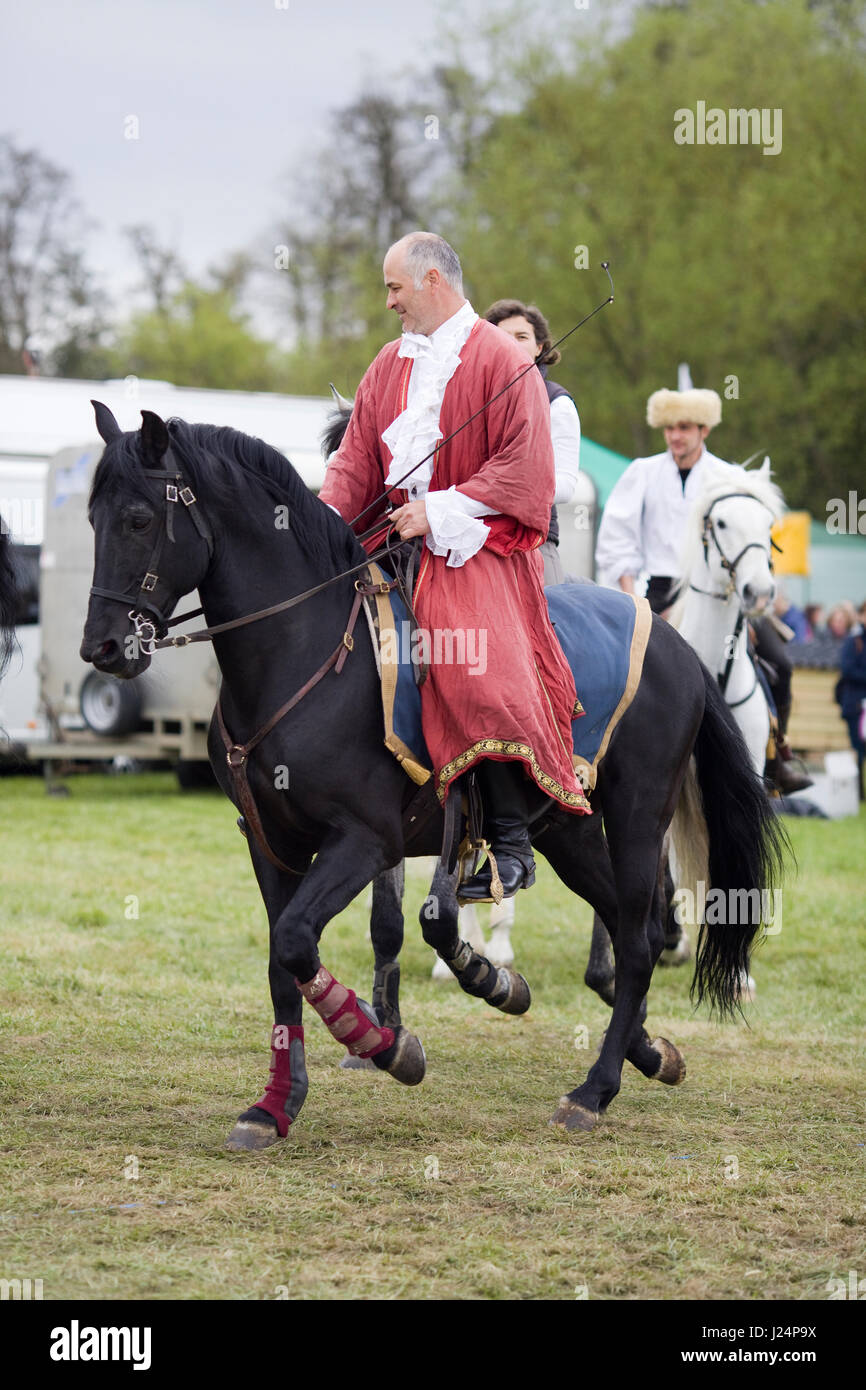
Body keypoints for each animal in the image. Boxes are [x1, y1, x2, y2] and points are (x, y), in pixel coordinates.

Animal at [84, 405, 789, 1150]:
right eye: (93, 518)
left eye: (138, 520)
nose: (103, 647)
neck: (305, 655)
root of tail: (681, 647)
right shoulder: (269, 843)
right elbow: (285, 960)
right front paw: (275, 1105)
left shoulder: (365, 840)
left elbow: (301, 941)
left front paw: (388, 1046)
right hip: (567, 831)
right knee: (638, 933)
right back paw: (647, 1052)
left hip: (635, 815)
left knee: (635, 934)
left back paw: (593, 1090)